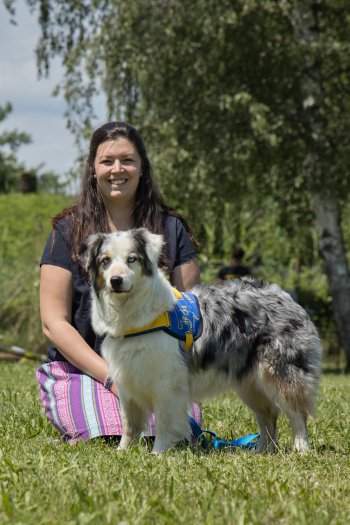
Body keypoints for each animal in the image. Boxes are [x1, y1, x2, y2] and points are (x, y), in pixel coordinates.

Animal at [80, 227, 322, 452]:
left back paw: (301, 449)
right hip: (249, 383)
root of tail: (284, 294)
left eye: (132, 259)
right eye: (105, 261)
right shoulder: (128, 380)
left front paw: (158, 453)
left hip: (280, 373)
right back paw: (262, 450)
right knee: (268, 416)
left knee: (296, 414)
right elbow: (129, 424)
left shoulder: (167, 382)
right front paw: (122, 452)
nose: (116, 280)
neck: (134, 315)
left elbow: (164, 422)